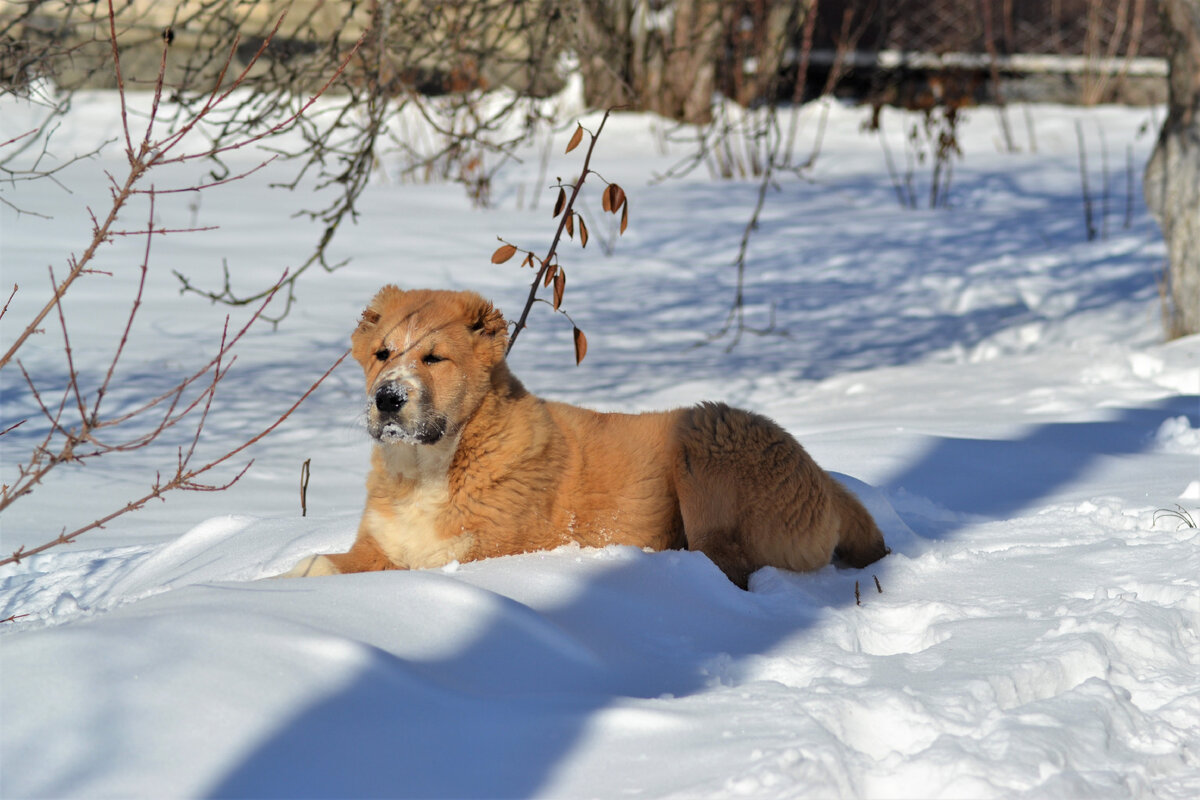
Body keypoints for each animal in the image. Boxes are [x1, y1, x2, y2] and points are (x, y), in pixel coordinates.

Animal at [285, 287, 888, 587]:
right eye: (382, 353)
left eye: (434, 358)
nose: (387, 398)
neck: (431, 465)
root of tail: (826, 480)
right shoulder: (378, 545)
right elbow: (324, 562)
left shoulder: (481, 553)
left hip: (706, 436)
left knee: (729, 566)